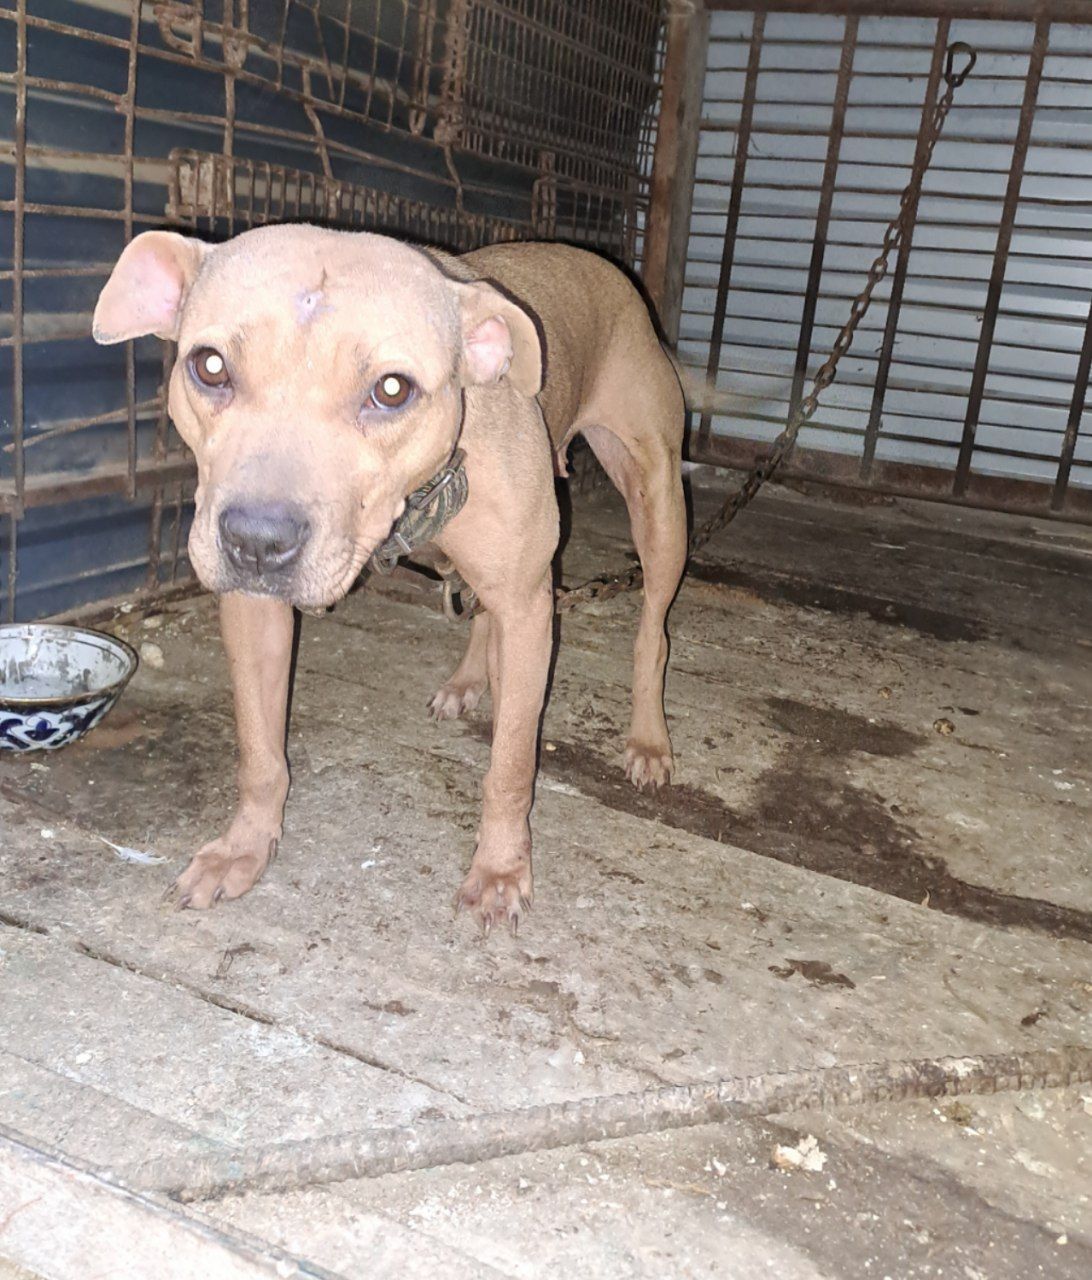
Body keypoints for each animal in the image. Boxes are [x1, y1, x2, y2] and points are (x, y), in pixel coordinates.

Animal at [93, 226, 687, 931]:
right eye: (209, 367)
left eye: (393, 390)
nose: (256, 542)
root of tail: (607, 268)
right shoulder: (254, 607)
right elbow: (260, 751)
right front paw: (244, 848)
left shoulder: (528, 606)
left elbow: (512, 762)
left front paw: (500, 871)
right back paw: (467, 681)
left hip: (657, 502)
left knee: (653, 630)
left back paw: (648, 739)